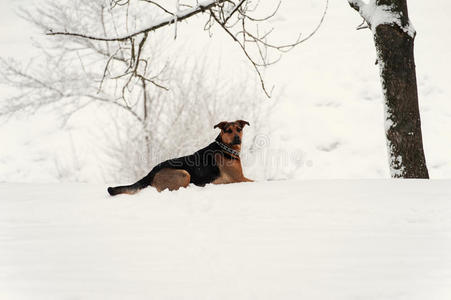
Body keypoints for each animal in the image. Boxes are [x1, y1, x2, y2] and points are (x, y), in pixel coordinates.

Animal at [107, 120, 252, 196]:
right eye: (228, 130)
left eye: (239, 129)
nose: (237, 138)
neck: (224, 147)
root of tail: (151, 172)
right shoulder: (239, 178)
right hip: (184, 173)